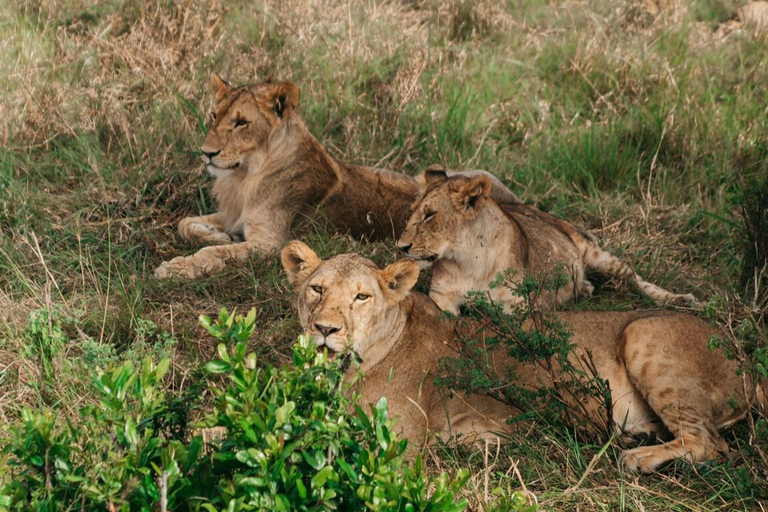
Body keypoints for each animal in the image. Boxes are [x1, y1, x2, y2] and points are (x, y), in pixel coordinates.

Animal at [153, 74, 520, 278]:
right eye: (214, 115)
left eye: (241, 123)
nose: (207, 153)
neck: (244, 176)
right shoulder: (233, 214)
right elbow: (185, 224)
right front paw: (220, 237)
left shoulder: (272, 244)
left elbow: (215, 255)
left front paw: (176, 267)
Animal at [282, 242, 768, 474]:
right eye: (317, 289)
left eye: (361, 297)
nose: (326, 329)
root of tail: (745, 359)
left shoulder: (399, 445)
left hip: (642, 332)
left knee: (712, 443)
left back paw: (636, 459)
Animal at [396, 170, 696, 314]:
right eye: (412, 212)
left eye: (430, 215)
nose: (401, 247)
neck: (467, 261)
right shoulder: (442, 296)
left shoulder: (515, 307)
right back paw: (584, 289)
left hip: (597, 255)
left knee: (637, 280)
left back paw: (681, 299)